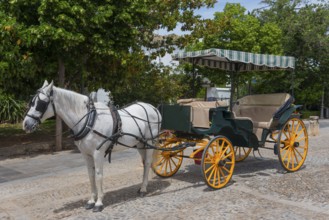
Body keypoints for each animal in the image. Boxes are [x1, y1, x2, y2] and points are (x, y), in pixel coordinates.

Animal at [22, 80, 161, 211]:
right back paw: (141, 186)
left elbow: (99, 175)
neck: (89, 120)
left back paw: (143, 189)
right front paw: (91, 201)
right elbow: (91, 175)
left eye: (40, 103)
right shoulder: (86, 154)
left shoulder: (97, 153)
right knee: (144, 163)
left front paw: (99, 203)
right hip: (140, 144)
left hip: (149, 142)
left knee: (148, 163)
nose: (26, 124)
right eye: (31, 102)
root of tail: (153, 108)